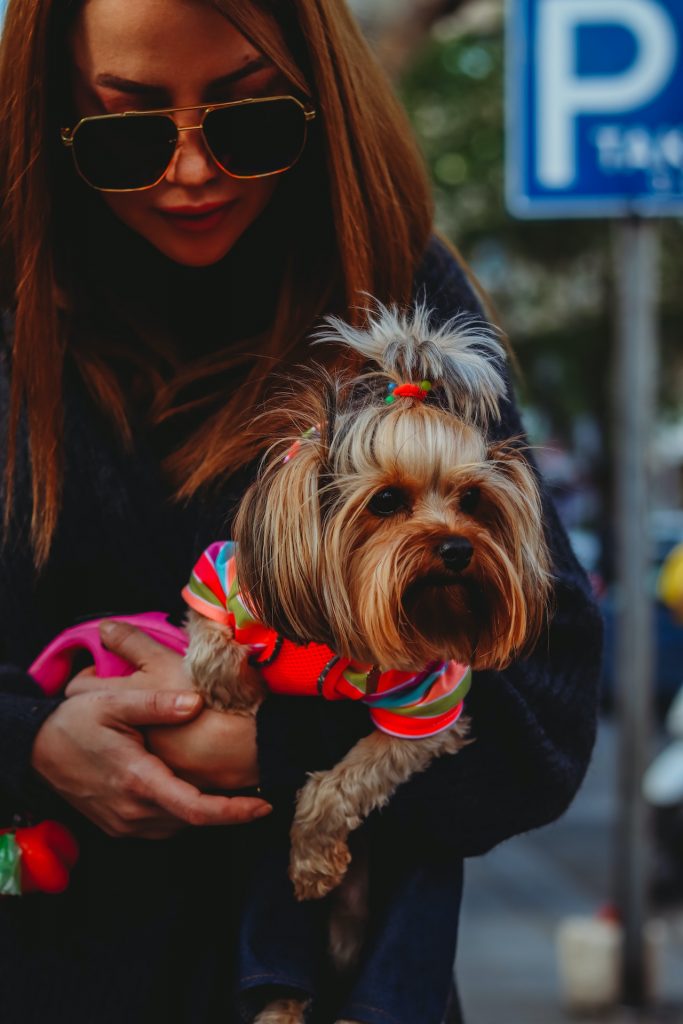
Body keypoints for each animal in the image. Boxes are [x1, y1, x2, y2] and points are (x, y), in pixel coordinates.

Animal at [180, 303, 548, 1024]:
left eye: (472, 501)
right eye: (384, 503)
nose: (457, 548)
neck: (335, 637)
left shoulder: (426, 708)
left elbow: (343, 780)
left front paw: (313, 857)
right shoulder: (226, 577)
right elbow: (210, 641)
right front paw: (236, 688)